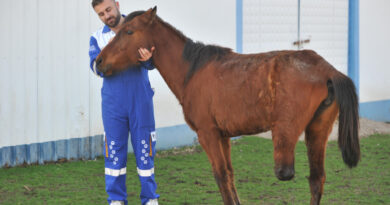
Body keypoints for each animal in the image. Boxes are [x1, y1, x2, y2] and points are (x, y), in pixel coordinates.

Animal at [96, 7, 362, 204]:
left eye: (128, 31)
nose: (98, 61)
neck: (192, 71)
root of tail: (327, 70)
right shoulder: (223, 136)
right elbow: (230, 176)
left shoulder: (208, 135)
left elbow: (221, 177)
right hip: (317, 130)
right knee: (316, 179)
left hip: (286, 136)